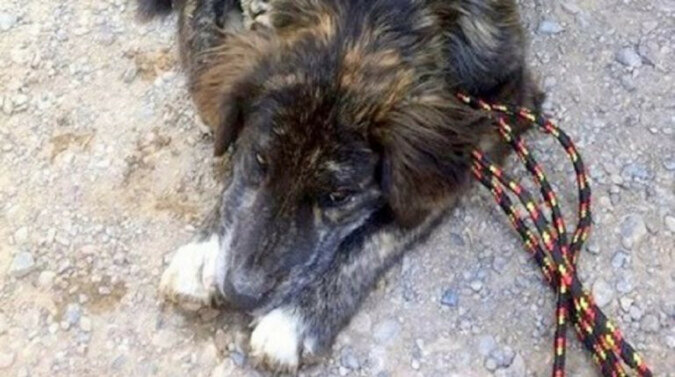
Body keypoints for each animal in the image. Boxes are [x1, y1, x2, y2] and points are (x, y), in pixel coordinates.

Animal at [139, 0, 544, 370]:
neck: (368, 15)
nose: (241, 294)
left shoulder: (504, 105)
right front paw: (205, 251)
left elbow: (382, 231)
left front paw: (299, 318)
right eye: (259, 160)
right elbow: (202, 45)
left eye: (338, 196)